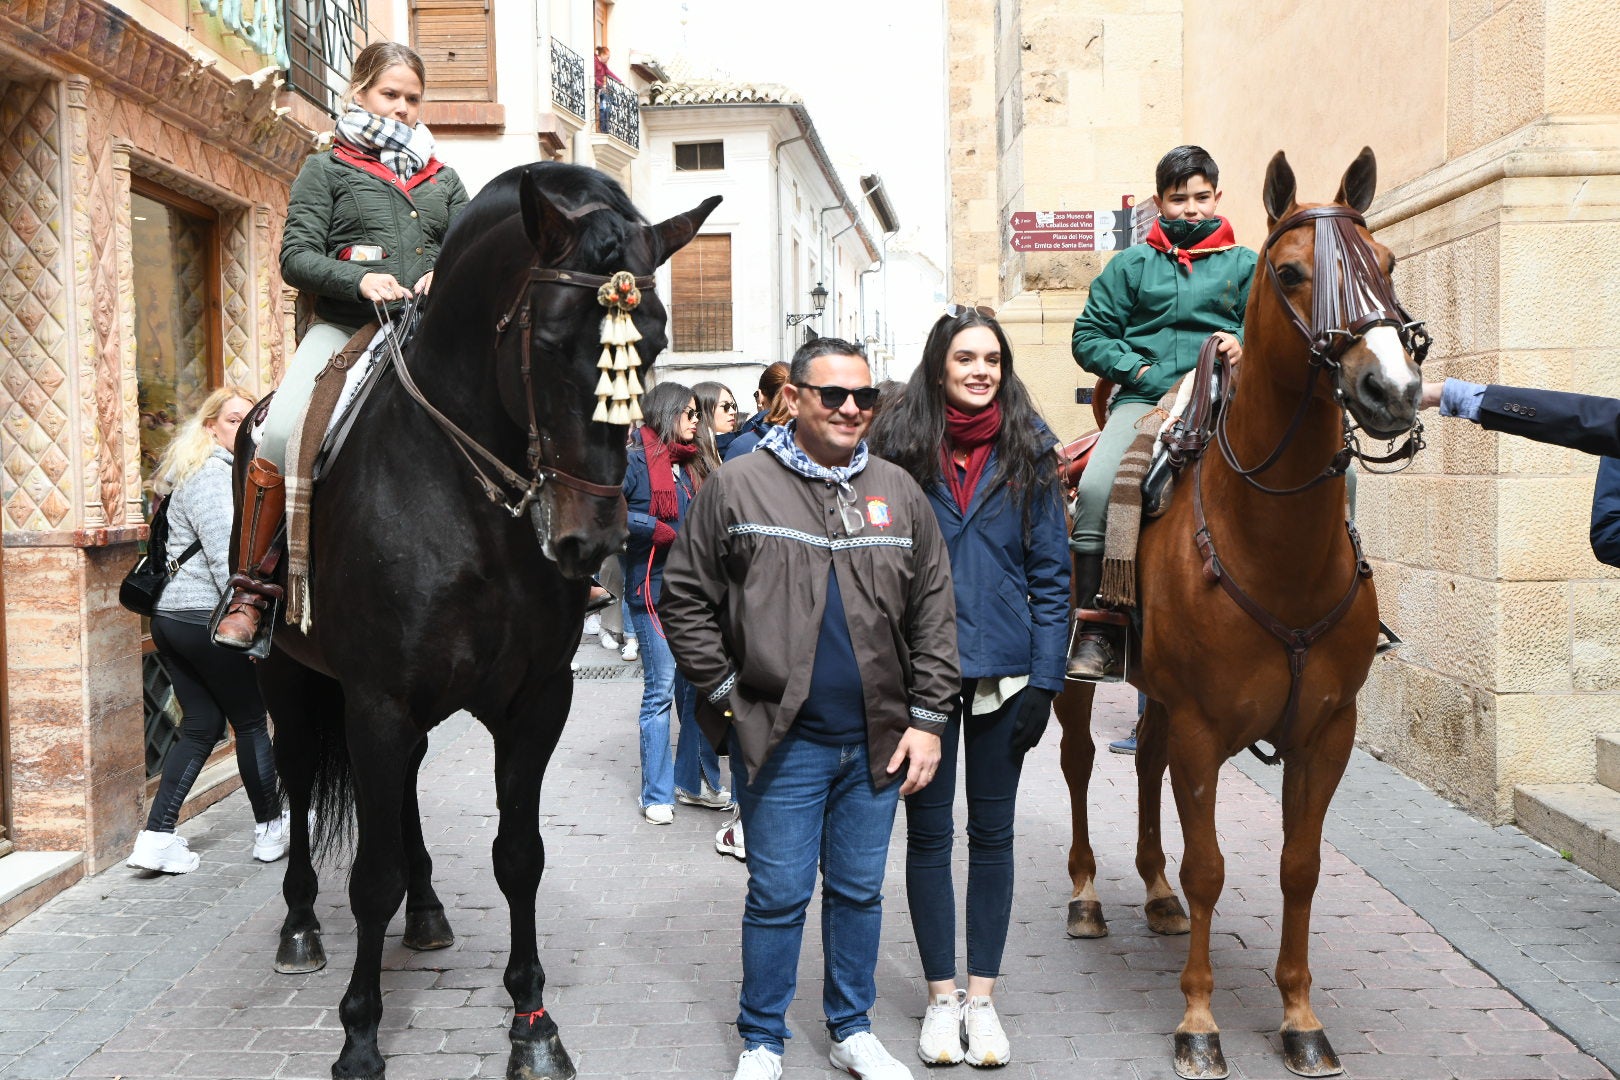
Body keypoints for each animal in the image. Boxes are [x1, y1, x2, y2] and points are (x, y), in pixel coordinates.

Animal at [251, 162, 722, 1080]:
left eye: (650, 346)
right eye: (551, 344)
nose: (593, 540)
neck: (464, 500)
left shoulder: (532, 701)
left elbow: (519, 857)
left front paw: (532, 1022)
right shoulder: (376, 702)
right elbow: (369, 877)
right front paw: (360, 1035)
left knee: (403, 793)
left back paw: (429, 909)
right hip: (290, 676)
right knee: (299, 779)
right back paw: (297, 925)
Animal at [1049, 145, 1419, 1080]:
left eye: (1388, 262)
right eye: (1289, 273)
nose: (1393, 388)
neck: (1276, 546)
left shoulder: (1325, 731)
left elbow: (1299, 867)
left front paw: (1299, 1016)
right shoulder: (1205, 727)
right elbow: (1211, 867)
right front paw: (1199, 1022)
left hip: (1160, 693)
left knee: (1142, 764)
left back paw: (1152, 892)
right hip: (1075, 683)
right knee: (1079, 765)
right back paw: (1088, 895)